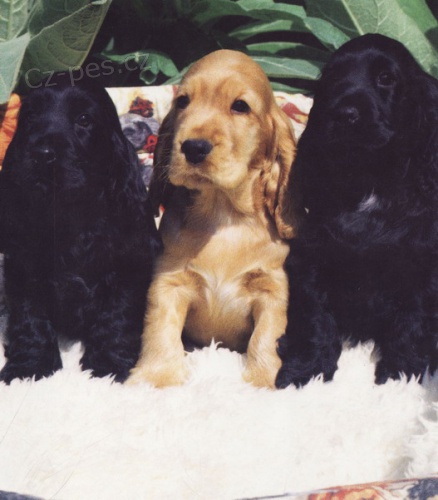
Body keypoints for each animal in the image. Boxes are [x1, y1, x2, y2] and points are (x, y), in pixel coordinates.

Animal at [0, 73, 162, 383]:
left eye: (84, 119)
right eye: (31, 117)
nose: (42, 154)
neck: (68, 211)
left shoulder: (127, 265)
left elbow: (117, 315)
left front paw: (108, 365)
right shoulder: (24, 266)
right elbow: (29, 317)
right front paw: (28, 367)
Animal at [127, 49, 297, 388]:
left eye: (240, 106)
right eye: (183, 102)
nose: (193, 147)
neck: (223, 215)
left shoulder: (272, 288)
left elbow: (267, 337)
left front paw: (263, 380)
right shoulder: (169, 283)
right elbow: (160, 332)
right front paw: (156, 378)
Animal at [276, 34, 438, 388]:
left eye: (386, 78)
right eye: (333, 78)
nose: (344, 114)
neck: (369, 178)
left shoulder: (423, 268)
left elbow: (412, 322)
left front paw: (400, 376)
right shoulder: (312, 259)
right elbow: (315, 318)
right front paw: (305, 371)